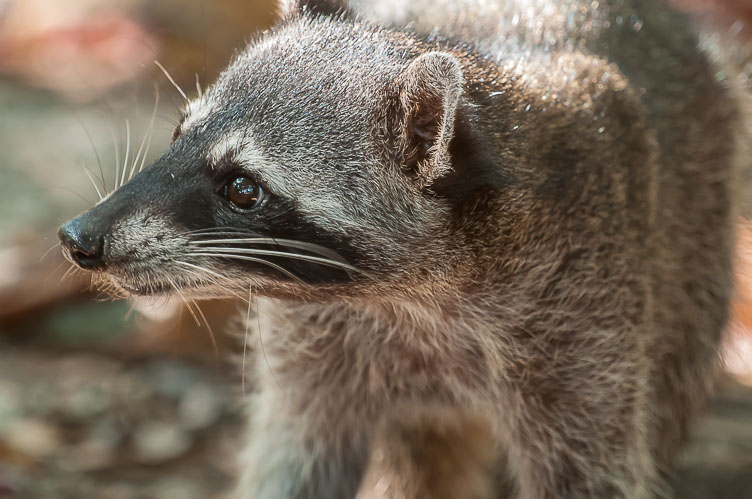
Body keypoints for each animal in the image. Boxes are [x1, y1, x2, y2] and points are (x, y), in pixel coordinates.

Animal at [58, 0, 750, 497]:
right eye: (178, 134)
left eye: (242, 188)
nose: (78, 237)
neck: (406, 295)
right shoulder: (313, 353)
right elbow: (295, 457)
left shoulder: (588, 314)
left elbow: (594, 468)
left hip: (693, 252)